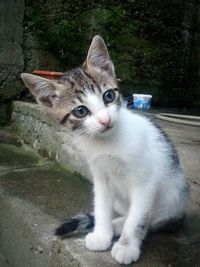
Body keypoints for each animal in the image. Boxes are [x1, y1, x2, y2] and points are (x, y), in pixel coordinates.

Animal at [21, 35, 188, 266]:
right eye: (80, 111)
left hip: (173, 196)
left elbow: (138, 218)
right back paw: (116, 224)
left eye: (108, 96)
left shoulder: (145, 181)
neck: (106, 143)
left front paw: (127, 246)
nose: (105, 120)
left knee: (151, 218)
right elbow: (101, 206)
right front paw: (102, 235)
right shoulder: (100, 175)